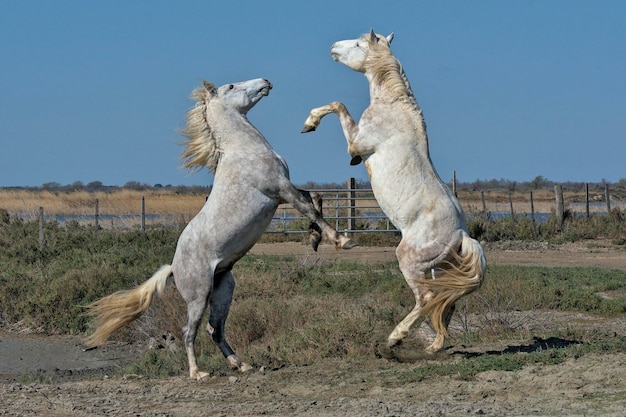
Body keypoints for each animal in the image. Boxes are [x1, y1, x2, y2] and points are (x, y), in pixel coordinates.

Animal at [85, 76, 354, 378]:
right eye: (232, 87)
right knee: (189, 331)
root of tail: (173, 267)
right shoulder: (279, 189)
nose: (265, 81)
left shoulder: (284, 191)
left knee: (215, 329)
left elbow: (315, 199)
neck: (244, 149)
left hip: (224, 290)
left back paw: (241, 364)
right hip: (199, 296)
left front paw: (315, 239)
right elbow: (310, 207)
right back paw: (197, 373)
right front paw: (340, 240)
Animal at [300, 30, 486, 352]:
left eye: (358, 44)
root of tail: (461, 234)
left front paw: (309, 123)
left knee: (426, 299)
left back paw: (396, 337)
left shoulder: (357, 141)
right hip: (439, 269)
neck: (392, 107)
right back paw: (433, 347)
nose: (333, 47)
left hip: (411, 261)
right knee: (443, 303)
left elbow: (338, 105)